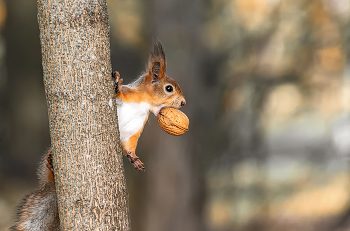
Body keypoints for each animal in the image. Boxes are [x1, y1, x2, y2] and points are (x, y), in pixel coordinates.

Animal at [10, 40, 186, 230]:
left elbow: (128, 147)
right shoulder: (126, 97)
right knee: (47, 169)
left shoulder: (133, 132)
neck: (145, 104)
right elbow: (119, 93)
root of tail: (51, 187)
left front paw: (134, 159)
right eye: (169, 88)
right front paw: (116, 83)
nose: (183, 102)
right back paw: (49, 163)